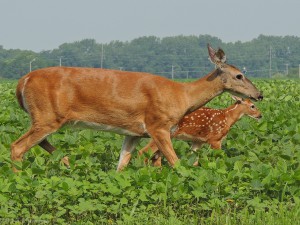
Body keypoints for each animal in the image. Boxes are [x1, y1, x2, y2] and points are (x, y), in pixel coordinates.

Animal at [10, 43, 262, 171]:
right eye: (239, 75)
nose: (259, 94)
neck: (183, 96)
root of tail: (22, 81)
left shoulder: (133, 133)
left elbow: (122, 164)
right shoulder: (158, 125)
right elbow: (176, 163)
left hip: (46, 118)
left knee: (38, 143)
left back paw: (67, 162)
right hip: (47, 116)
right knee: (17, 146)